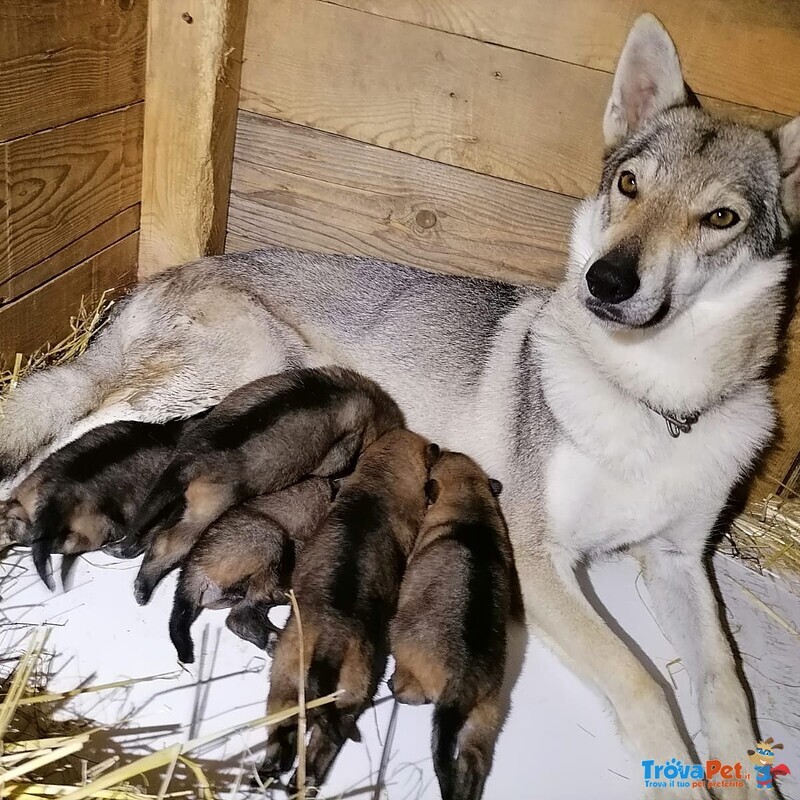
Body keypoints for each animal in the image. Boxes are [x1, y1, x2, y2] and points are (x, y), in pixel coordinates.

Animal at [260, 428, 438, 792]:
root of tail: (329, 647)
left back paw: (279, 775)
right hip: (336, 702)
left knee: (292, 739)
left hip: (291, 689)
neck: (380, 478)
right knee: (316, 746)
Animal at [390, 450, 520, 800]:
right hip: (487, 712)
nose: (438, 448)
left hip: (401, 640)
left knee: (412, 690)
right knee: (474, 758)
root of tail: (462, 684)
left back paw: (397, 687)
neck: (471, 505)